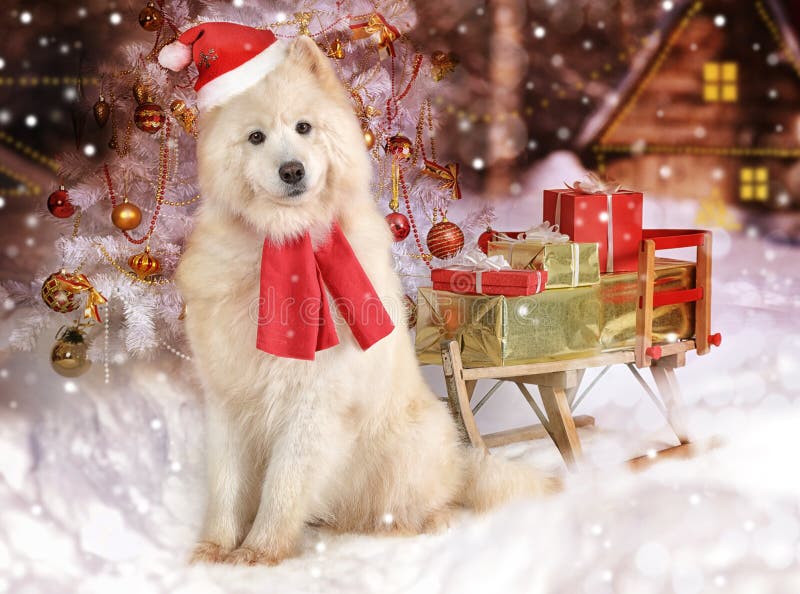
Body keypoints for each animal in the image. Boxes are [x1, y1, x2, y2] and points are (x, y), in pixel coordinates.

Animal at [174, 34, 552, 560]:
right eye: (256, 137)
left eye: (304, 127)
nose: (292, 170)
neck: (283, 247)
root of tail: (460, 461)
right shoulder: (228, 398)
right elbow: (227, 486)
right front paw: (214, 550)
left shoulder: (312, 402)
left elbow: (282, 486)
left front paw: (259, 551)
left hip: (413, 443)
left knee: (435, 500)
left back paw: (417, 524)